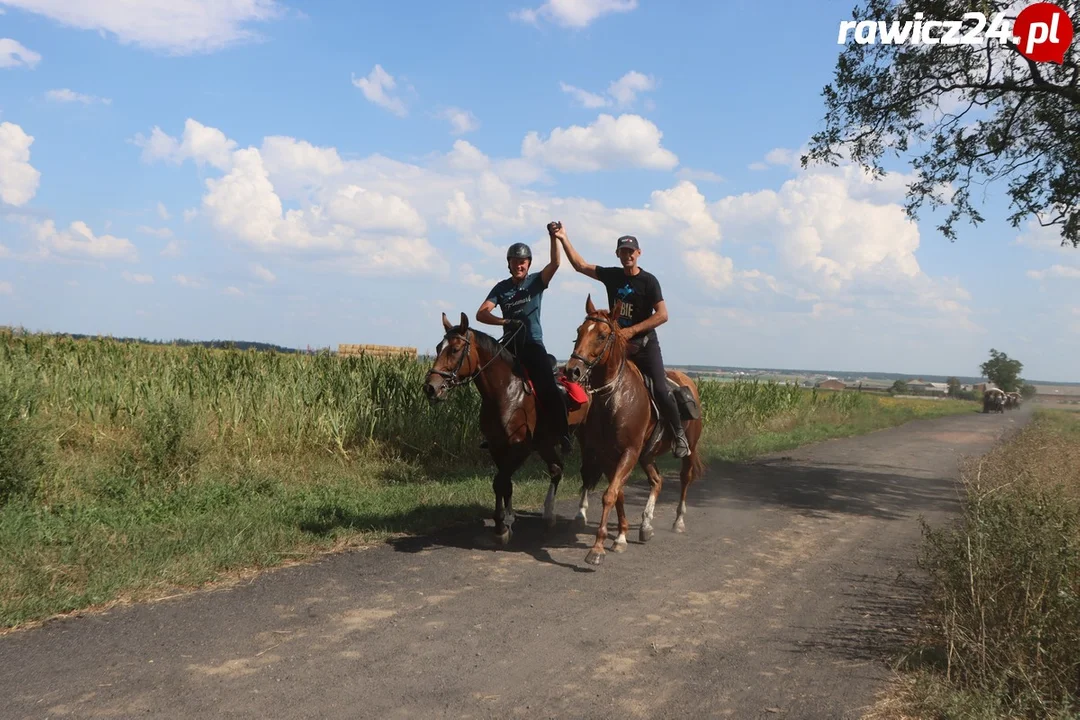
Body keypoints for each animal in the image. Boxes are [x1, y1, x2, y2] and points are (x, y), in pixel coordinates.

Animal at [421, 313, 591, 544]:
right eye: (439, 347)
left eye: (455, 349)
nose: (431, 387)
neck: (505, 392)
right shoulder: (496, 446)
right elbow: (504, 483)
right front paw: (506, 521)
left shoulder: (521, 448)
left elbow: (500, 481)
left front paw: (502, 526)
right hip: (545, 444)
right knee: (556, 469)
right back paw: (549, 516)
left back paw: (579, 515)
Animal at [565, 295, 708, 565]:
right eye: (579, 331)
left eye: (602, 335)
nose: (572, 370)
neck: (615, 398)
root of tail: (688, 381)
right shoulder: (608, 456)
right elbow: (618, 493)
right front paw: (620, 536)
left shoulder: (629, 452)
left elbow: (610, 494)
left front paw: (597, 548)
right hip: (647, 455)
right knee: (657, 481)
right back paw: (646, 525)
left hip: (687, 450)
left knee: (684, 479)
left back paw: (678, 521)